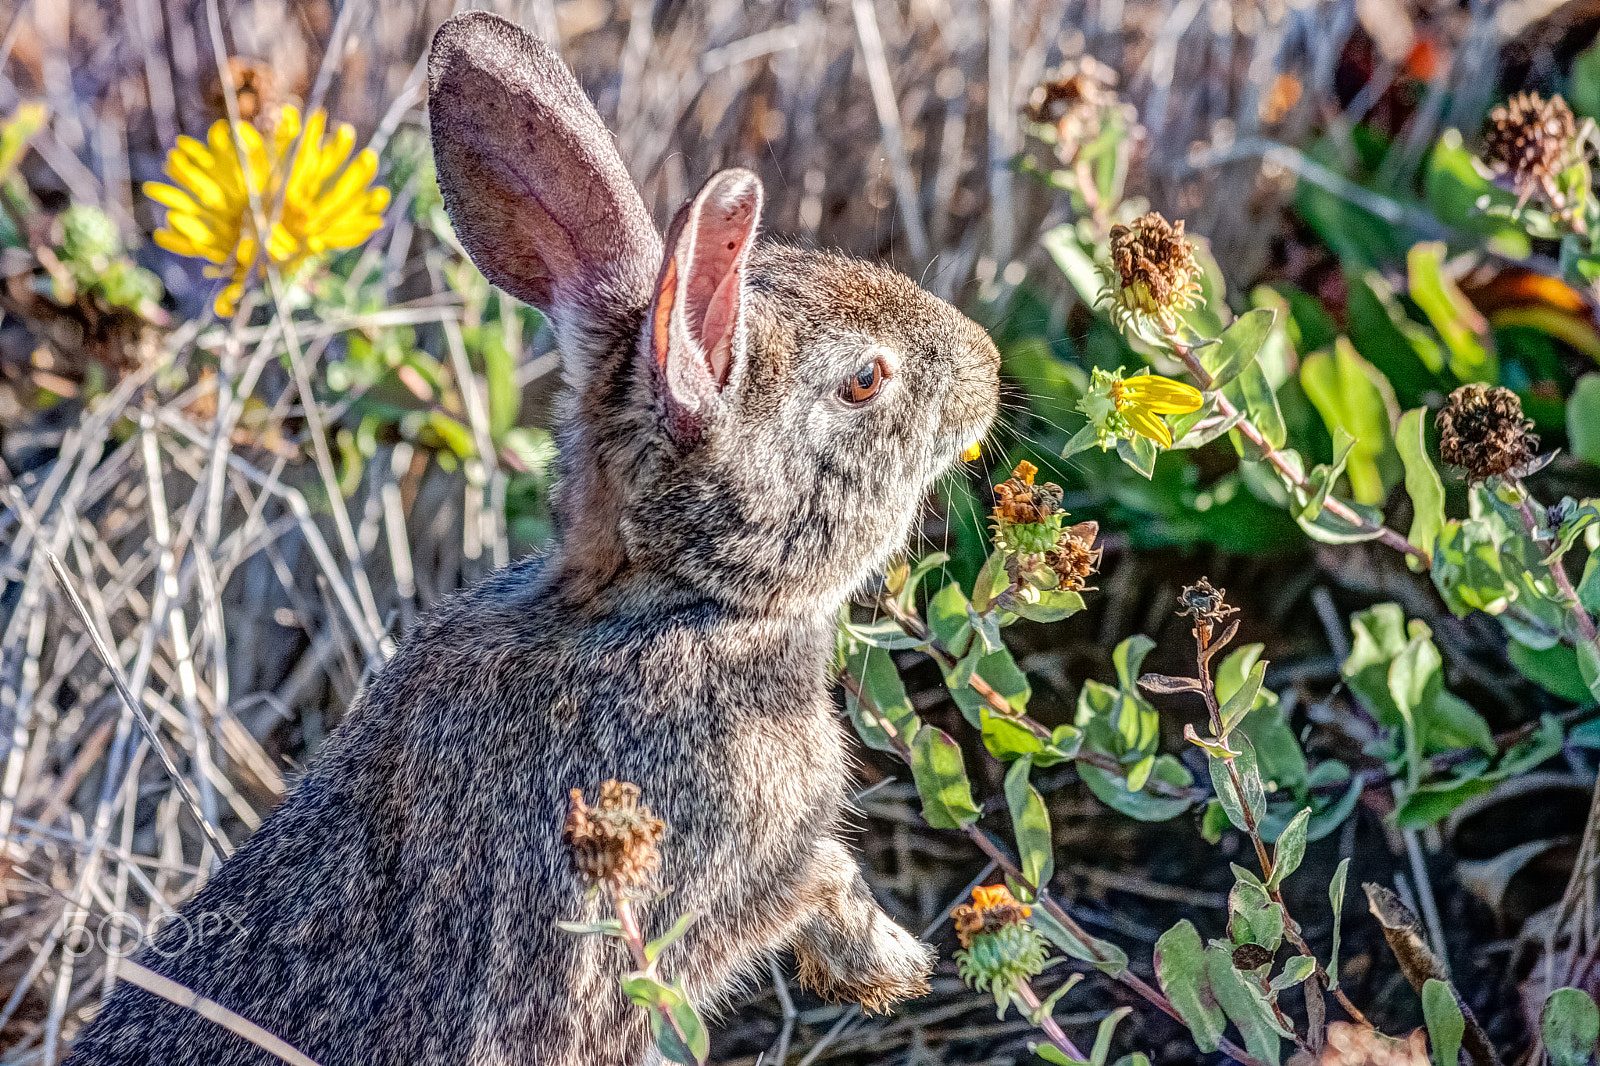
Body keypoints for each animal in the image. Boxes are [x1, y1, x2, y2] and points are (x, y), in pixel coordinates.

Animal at [67, 11, 1000, 1066]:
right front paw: (888, 963)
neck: (663, 602)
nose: (987, 369)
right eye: (865, 381)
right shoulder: (707, 883)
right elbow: (810, 881)